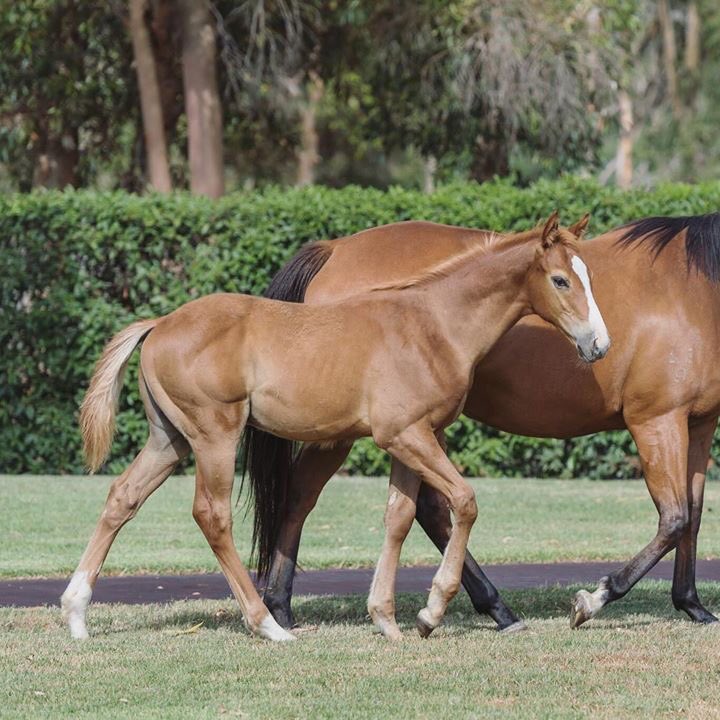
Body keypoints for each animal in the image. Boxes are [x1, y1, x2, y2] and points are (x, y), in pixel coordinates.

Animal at [60, 212, 608, 642]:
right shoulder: (407, 435)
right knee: (212, 516)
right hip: (214, 436)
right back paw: (268, 624)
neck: (431, 324)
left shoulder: (409, 438)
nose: (598, 345)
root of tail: (159, 324)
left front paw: (387, 619)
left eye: (588, 276)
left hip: (168, 441)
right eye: (561, 280)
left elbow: (399, 517)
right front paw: (431, 612)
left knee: (122, 498)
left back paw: (76, 613)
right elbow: (464, 501)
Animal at [252, 211, 720, 635]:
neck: (690, 291)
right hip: (343, 430)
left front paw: (692, 605)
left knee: (419, 508)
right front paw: (593, 599)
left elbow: (693, 513)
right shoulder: (656, 421)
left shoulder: (698, 425)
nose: (599, 344)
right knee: (304, 495)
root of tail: (334, 249)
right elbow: (673, 517)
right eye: (562, 281)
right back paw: (282, 606)